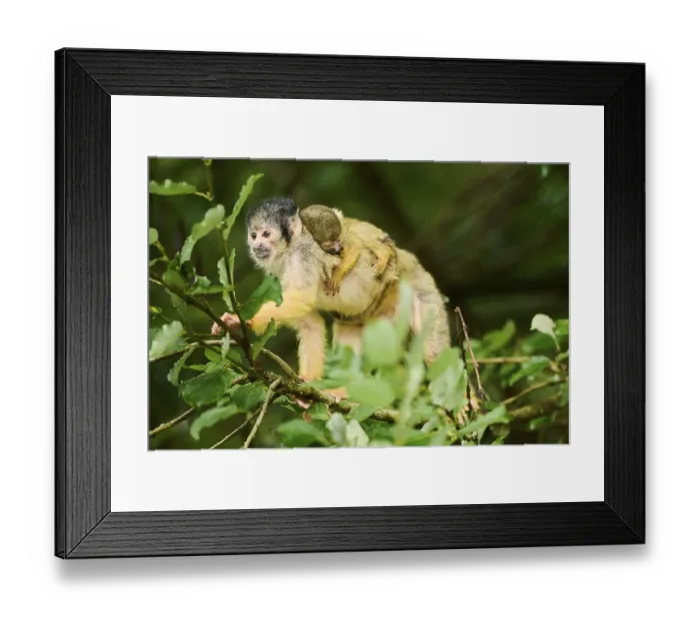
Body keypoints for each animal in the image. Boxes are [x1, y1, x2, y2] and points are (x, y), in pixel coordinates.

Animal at [211, 197, 450, 390]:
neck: (289, 249)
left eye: (266, 234)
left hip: (420, 286)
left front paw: (241, 320)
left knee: (435, 356)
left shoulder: (303, 255)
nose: (258, 244)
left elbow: (301, 300)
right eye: (254, 235)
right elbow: (309, 321)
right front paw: (309, 386)